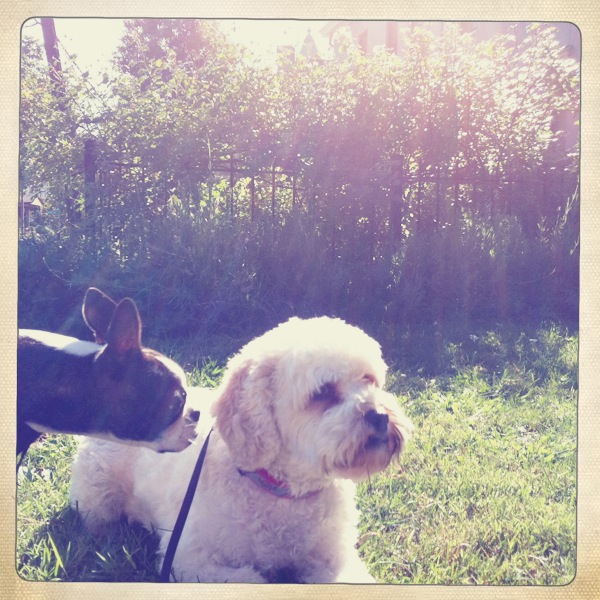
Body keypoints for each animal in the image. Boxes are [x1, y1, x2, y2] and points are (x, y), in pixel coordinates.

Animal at [69, 316, 413, 583]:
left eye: (369, 379)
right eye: (324, 392)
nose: (379, 416)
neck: (282, 492)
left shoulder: (334, 560)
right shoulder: (191, 560)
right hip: (97, 494)